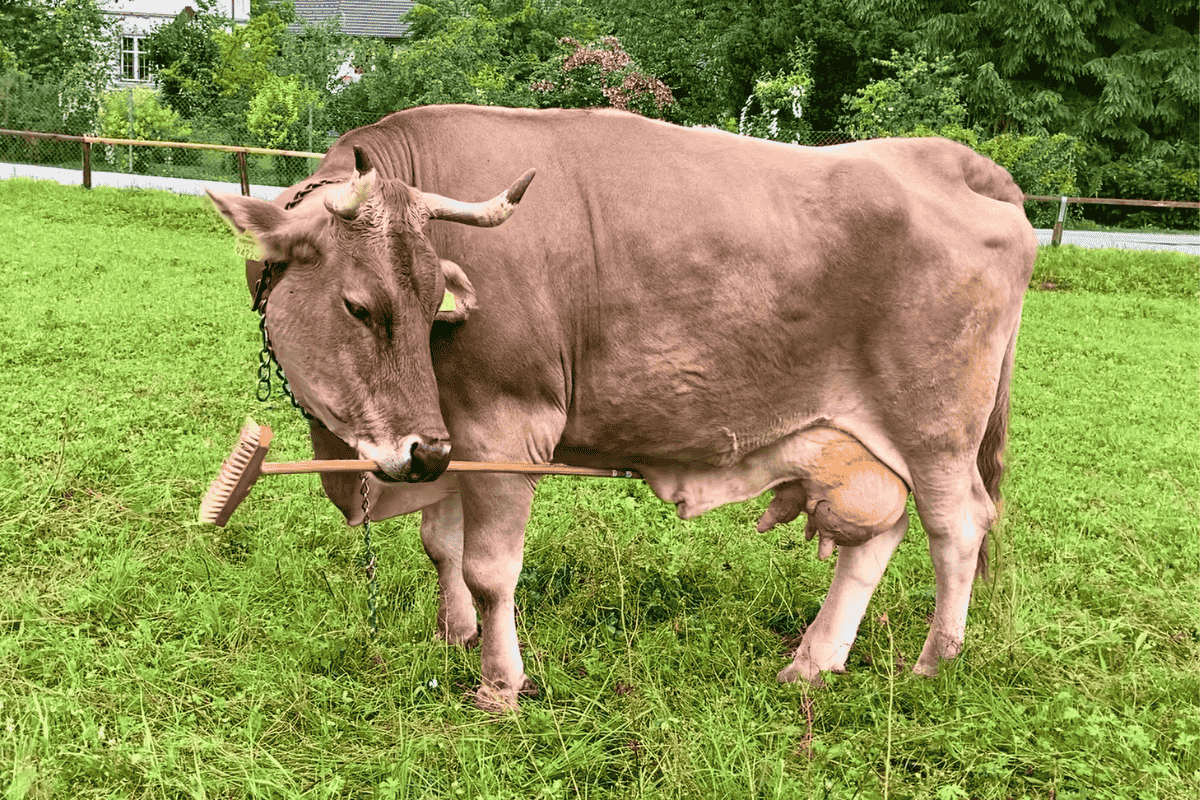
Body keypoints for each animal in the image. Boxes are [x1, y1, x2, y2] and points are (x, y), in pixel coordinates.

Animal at [207, 105, 1037, 712]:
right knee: (877, 533)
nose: (422, 453)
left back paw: (935, 663)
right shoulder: (446, 431)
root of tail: (952, 161)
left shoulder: (506, 426)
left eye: (426, 303)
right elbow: (440, 544)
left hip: (936, 431)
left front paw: (499, 684)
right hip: (858, 440)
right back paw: (815, 660)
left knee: (956, 529)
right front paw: (454, 634)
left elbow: (490, 568)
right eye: (362, 306)